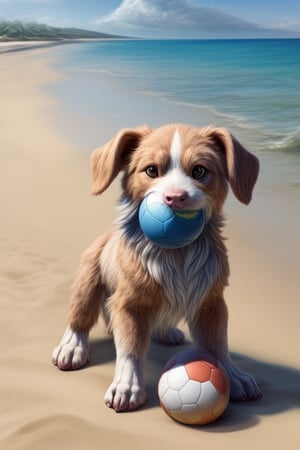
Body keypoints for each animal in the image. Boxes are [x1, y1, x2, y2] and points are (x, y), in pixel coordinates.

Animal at [52, 123, 262, 412]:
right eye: (151, 170)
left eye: (199, 171)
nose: (175, 198)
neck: (177, 255)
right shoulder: (130, 303)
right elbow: (130, 348)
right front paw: (127, 385)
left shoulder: (211, 301)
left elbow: (218, 343)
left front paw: (234, 376)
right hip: (88, 276)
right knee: (80, 315)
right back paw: (72, 347)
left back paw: (166, 332)